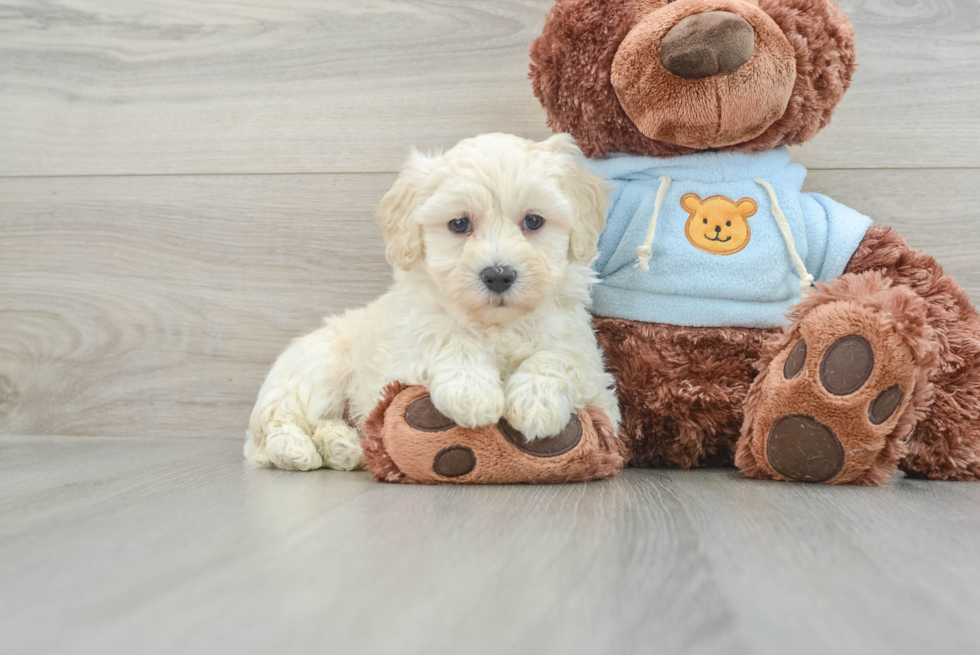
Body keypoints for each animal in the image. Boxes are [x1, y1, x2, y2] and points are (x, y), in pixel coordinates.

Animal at [245, 133, 620, 472]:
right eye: (459, 224)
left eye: (533, 221)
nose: (498, 275)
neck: (496, 324)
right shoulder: (405, 351)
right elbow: (448, 338)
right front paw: (472, 392)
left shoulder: (595, 379)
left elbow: (559, 358)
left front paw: (536, 403)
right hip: (316, 367)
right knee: (277, 424)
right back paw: (297, 449)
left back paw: (344, 447)